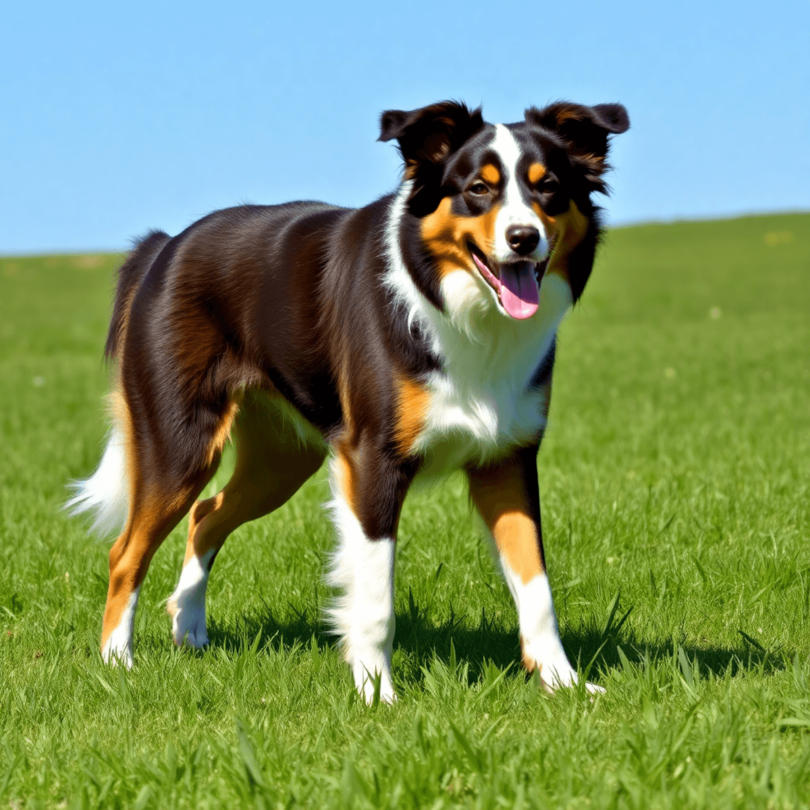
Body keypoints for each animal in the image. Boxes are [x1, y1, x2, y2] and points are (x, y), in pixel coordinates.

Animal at [68, 99, 624, 700]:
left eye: (549, 188)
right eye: (478, 188)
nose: (524, 237)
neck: (462, 314)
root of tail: (163, 247)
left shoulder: (508, 459)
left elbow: (536, 584)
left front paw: (564, 683)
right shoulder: (373, 459)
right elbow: (375, 594)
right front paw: (376, 691)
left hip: (281, 461)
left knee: (205, 514)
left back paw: (189, 629)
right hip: (180, 445)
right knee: (127, 551)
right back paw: (116, 661)